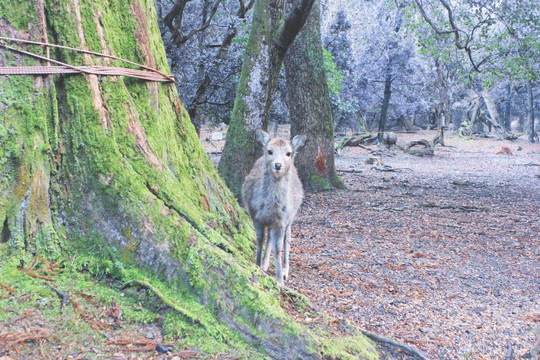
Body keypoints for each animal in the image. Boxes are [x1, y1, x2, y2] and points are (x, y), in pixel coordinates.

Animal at [243, 129, 306, 284]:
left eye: (288, 153)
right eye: (270, 151)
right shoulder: (256, 216)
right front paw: (257, 268)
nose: (278, 165)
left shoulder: (282, 220)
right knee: (270, 238)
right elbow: (260, 242)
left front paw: (279, 281)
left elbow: (278, 249)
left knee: (287, 239)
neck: (270, 208)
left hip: (291, 216)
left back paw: (285, 271)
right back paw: (265, 265)